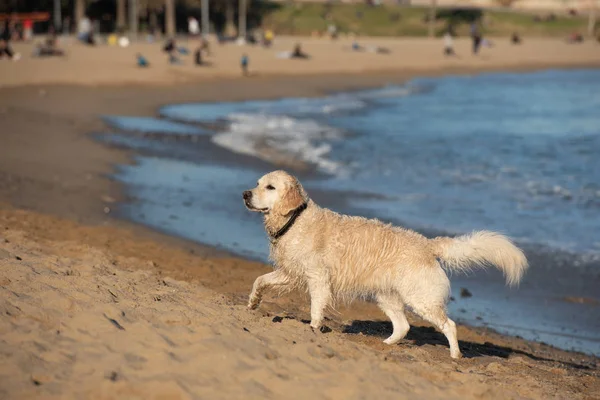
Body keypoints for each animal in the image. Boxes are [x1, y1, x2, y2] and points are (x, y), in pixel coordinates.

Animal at [241, 170, 528, 358]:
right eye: (257, 183)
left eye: (270, 187)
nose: (245, 193)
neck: (295, 219)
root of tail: (428, 244)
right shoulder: (290, 272)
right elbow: (259, 280)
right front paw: (253, 303)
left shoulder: (318, 278)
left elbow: (315, 309)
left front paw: (312, 330)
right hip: (387, 296)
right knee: (404, 327)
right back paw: (386, 344)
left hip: (421, 298)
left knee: (449, 325)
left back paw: (455, 355)